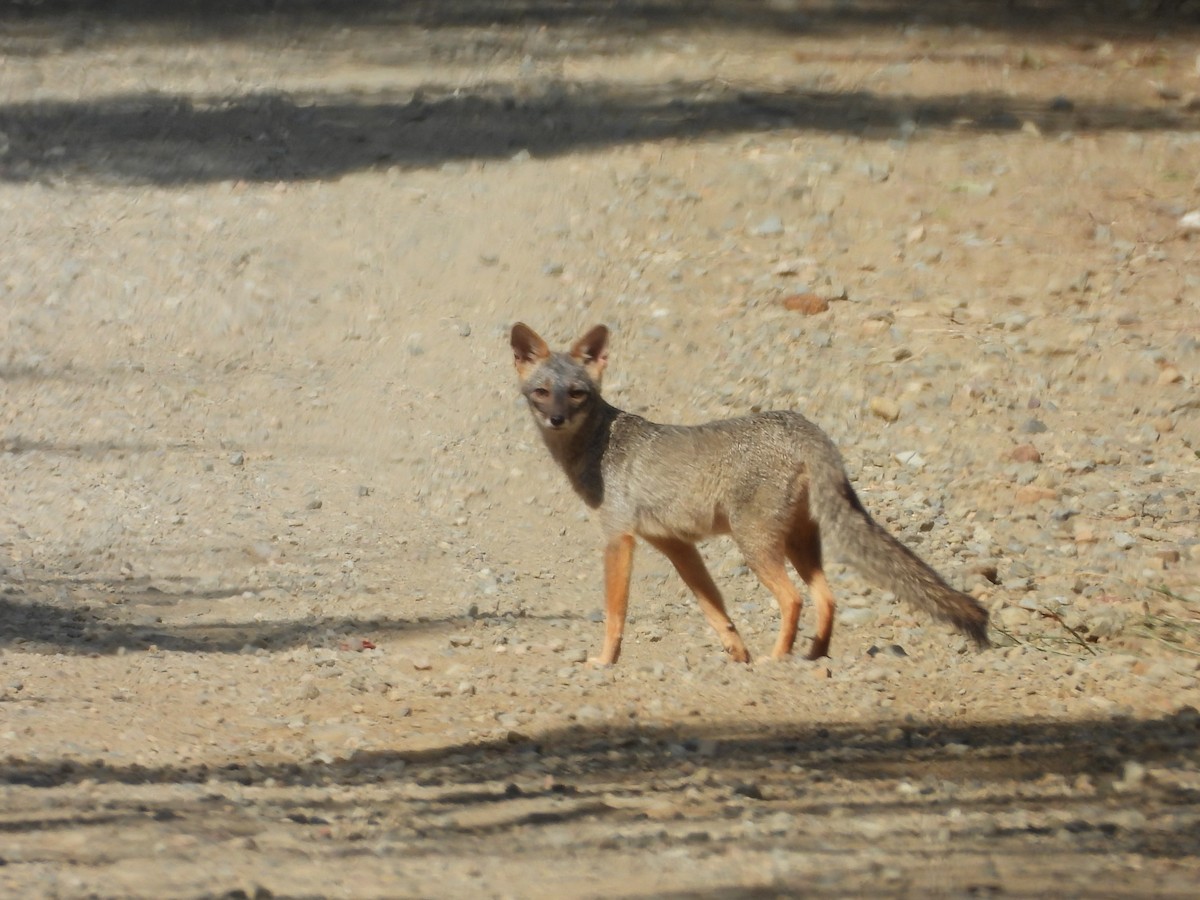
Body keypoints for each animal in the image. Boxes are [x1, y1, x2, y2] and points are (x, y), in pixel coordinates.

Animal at [509, 322, 990, 666]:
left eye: (576, 394)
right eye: (541, 393)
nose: (555, 418)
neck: (597, 444)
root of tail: (801, 424)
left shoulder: (618, 538)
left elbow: (615, 613)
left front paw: (604, 661)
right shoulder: (675, 545)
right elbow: (715, 608)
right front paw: (737, 653)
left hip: (755, 543)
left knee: (794, 599)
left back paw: (777, 659)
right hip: (797, 542)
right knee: (827, 598)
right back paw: (813, 656)